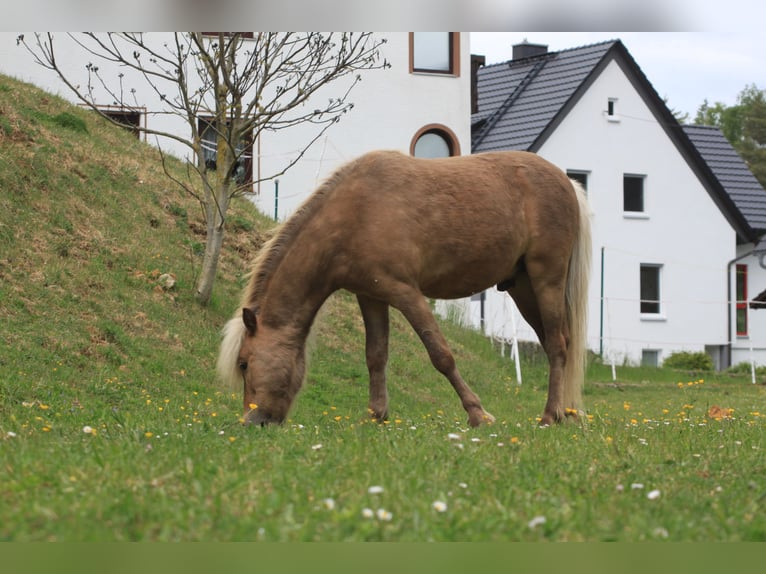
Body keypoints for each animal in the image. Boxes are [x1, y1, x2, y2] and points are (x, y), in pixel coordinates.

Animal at [218, 150, 591, 427]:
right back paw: (565, 413)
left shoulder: (406, 293)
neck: (353, 213)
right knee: (557, 342)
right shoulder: (370, 296)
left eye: (244, 364)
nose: (253, 422)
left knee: (557, 345)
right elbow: (375, 356)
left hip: (546, 278)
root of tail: (567, 182)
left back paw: (549, 416)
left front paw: (478, 414)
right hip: (523, 287)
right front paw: (376, 415)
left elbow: (441, 355)